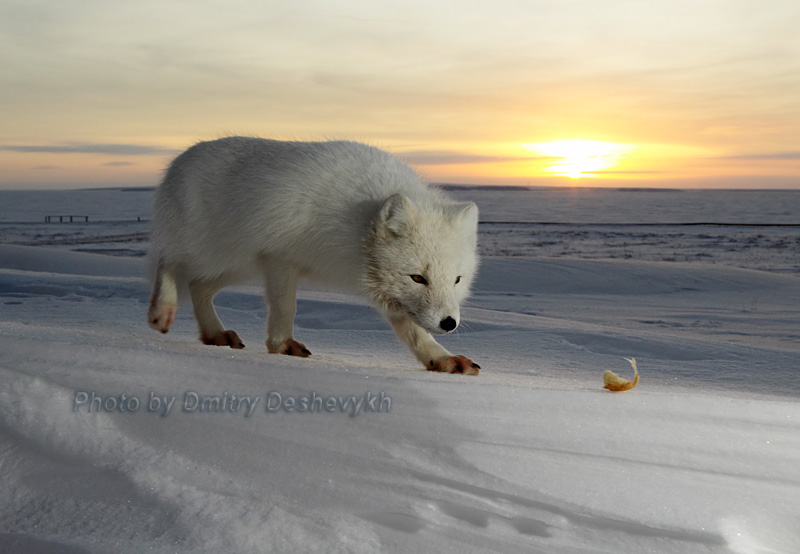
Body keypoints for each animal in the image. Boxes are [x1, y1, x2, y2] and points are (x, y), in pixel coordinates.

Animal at [147, 136, 478, 374]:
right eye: (418, 278)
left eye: (457, 280)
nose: (449, 323)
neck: (354, 223)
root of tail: (180, 159)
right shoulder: (280, 257)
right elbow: (286, 308)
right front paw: (281, 345)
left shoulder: (386, 291)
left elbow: (414, 333)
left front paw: (441, 360)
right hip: (209, 250)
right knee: (168, 261)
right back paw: (162, 310)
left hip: (237, 266)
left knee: (198, 286)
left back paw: (215, 334)